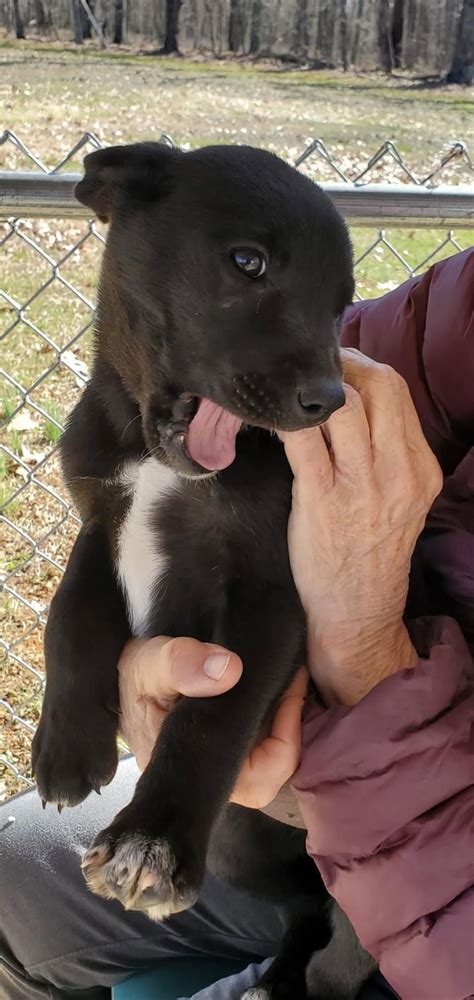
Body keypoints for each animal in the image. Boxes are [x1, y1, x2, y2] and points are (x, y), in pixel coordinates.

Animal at [32, 145, 374, 996]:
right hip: (240, 849)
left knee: (341, 956)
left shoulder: (273, 591)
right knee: (304, 911)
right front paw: (67, 746)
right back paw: (276, 971)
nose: (327, 401)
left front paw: (149, 843)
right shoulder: (104, 522)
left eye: (340, 305)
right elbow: (69, 616)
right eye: (248, 262)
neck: (156, 456)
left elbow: (214, 714)